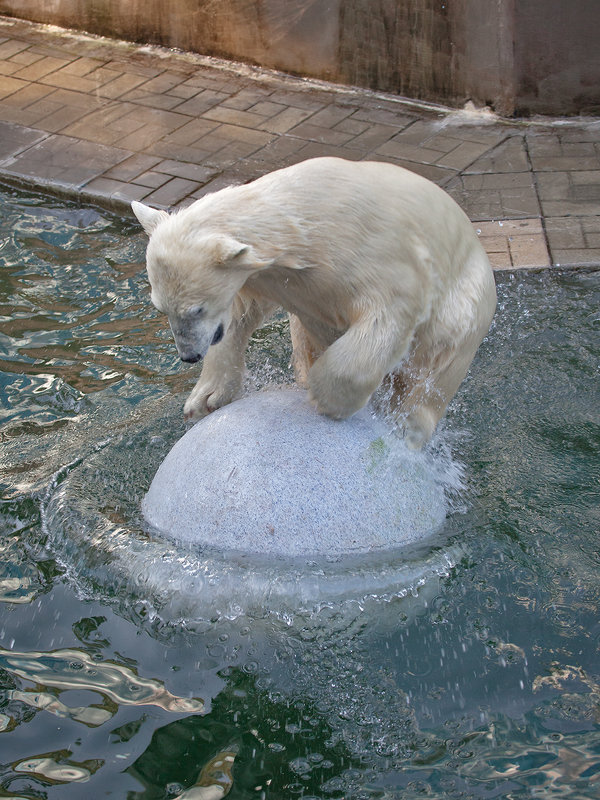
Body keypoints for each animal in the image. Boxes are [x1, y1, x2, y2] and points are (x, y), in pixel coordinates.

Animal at [134, 155, 494, 444]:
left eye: (197, 308)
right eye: (161, 307)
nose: (188, 355)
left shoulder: (374, 253)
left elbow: (389, 312)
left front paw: (328, 398)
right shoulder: (273, 278)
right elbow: (242, 313)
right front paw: (206, 398)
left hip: (465, 309)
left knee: (434, 373)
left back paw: (408, 429)